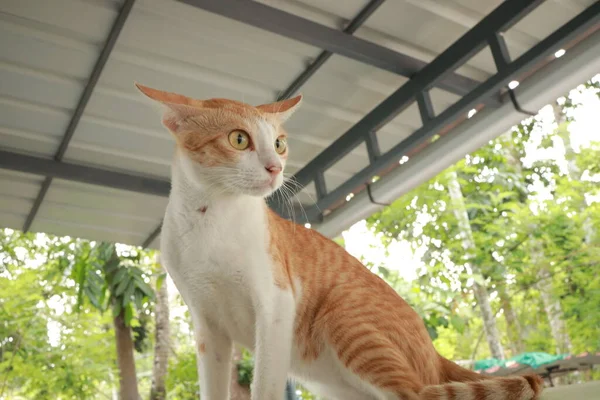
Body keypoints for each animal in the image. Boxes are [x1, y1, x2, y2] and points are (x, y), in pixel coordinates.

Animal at [135, 84, 544, 400]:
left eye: (279, 144)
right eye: (239, 139)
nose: (276, 168)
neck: (210, 219)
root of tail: (432, 350)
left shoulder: (276, 306)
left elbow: (265, 386)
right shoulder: (208, 328)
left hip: (346, 318)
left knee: (417, 393)